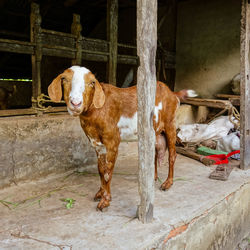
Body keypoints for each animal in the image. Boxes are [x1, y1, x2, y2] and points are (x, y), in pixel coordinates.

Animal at [47, 66, 196, 211]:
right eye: (64, 79)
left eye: (91, 83)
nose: (76, 103)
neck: (96, 111)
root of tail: (172, 93)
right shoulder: (97, 144)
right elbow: (101, 170)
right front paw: (100, 193)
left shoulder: (112, 142)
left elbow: (108, 172)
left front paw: (105, 201)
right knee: (152, 154)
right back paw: (152, 178)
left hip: (170, 123)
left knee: (172, 154)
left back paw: (167, 183)